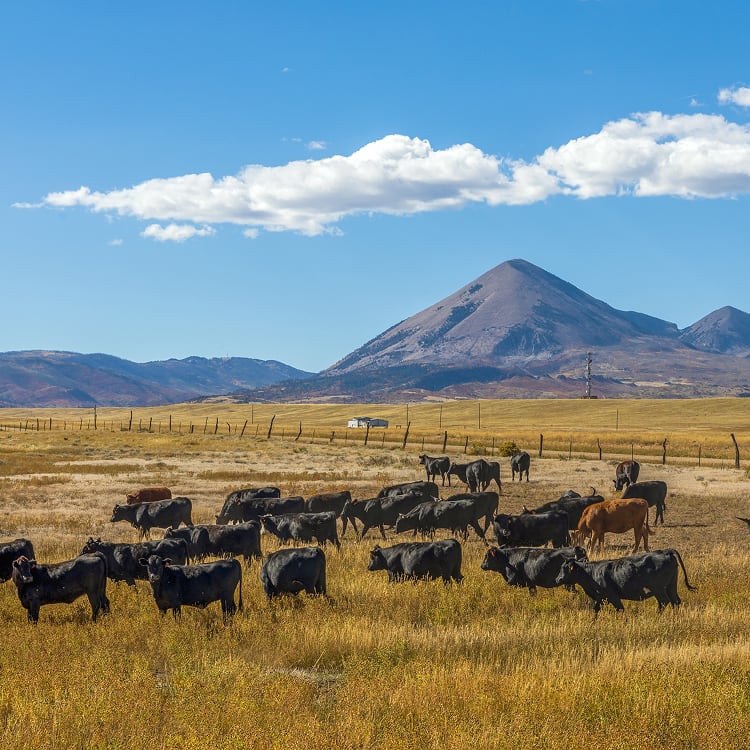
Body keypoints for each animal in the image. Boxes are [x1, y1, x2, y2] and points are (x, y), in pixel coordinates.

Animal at [555, 549, 697, 613]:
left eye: (564, 568)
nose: (557, 579)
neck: (593, 573)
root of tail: (666, 552)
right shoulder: (600, 598)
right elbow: (595, 610)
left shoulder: (613, 597)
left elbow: (620, 609)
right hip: (671, 585)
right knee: (675, 601)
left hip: (658, 589)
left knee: (663, 602)